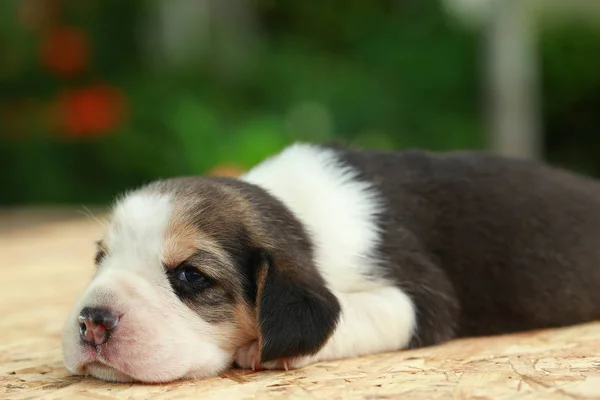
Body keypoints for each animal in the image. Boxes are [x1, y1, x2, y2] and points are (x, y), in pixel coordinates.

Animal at [62, 143, 600, 382]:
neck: (297, 215)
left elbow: (351, 314)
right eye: (100, 258)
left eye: (191, 276)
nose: (92, 322)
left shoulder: (420, 298)